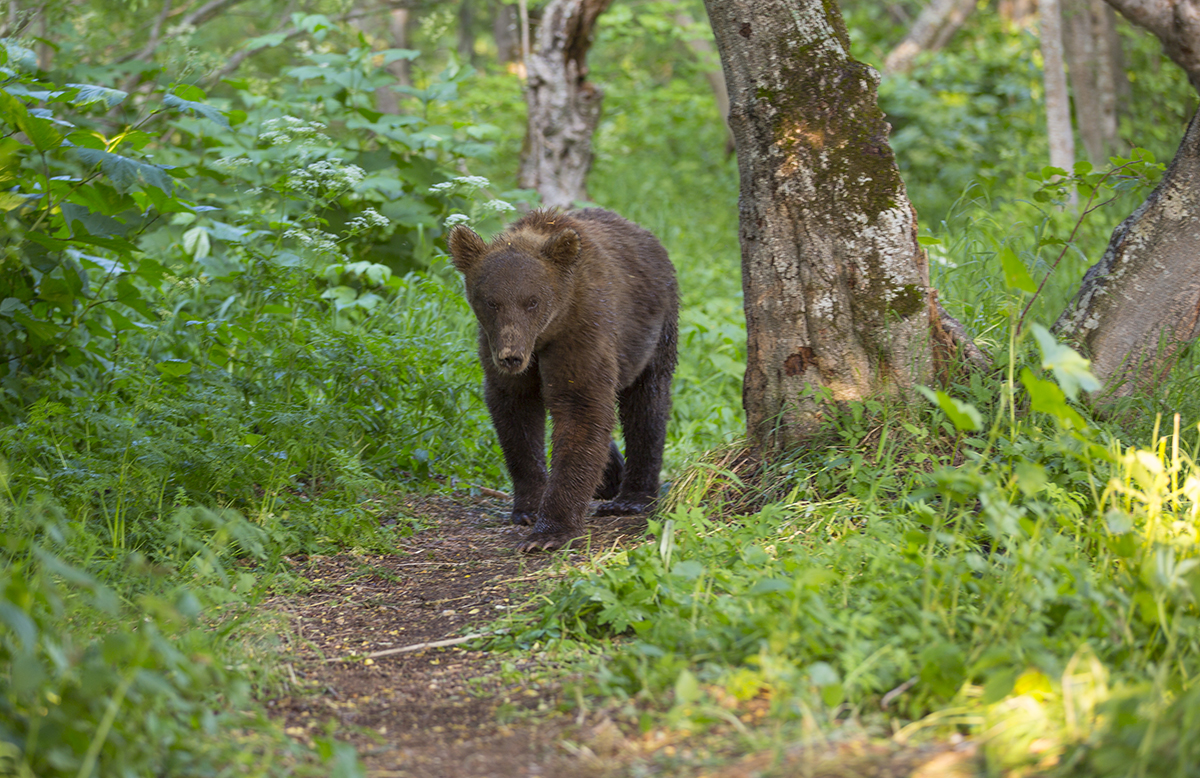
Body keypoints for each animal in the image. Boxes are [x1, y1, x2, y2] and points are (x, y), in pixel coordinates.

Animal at [448, 206, 676, 552]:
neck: (544, 334)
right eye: (491, 301)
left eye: (532, 300)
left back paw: (632, 497)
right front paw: (529, 507)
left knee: (647, 405)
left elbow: (581, 406)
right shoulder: (494, 347)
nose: (511, 356)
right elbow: (515, 414)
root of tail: (642, 231)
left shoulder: (581, 330)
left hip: (654, 329)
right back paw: (610, 478)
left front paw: (549, 532)